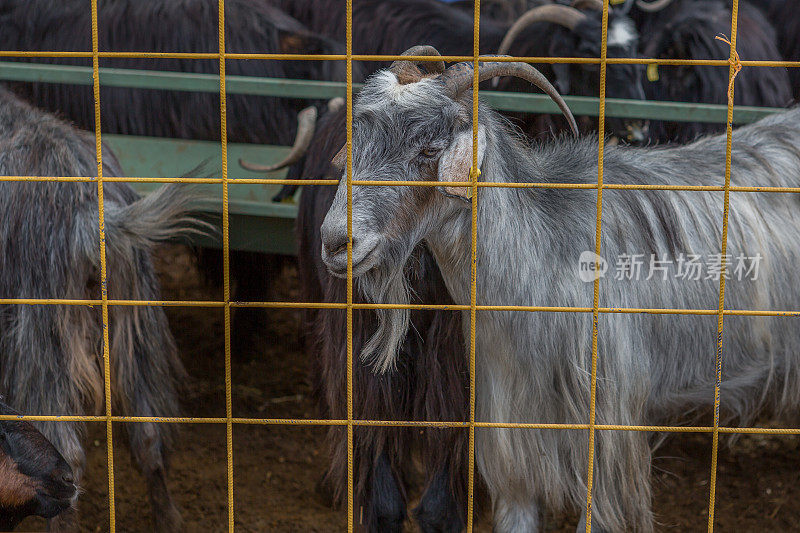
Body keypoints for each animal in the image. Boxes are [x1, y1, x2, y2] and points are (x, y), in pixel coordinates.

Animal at [0, 86, 198, 528]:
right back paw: (169, 517)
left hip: (42, 338)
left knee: (68, 456)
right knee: (148, 434)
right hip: (137, 324)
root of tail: (90, 215)